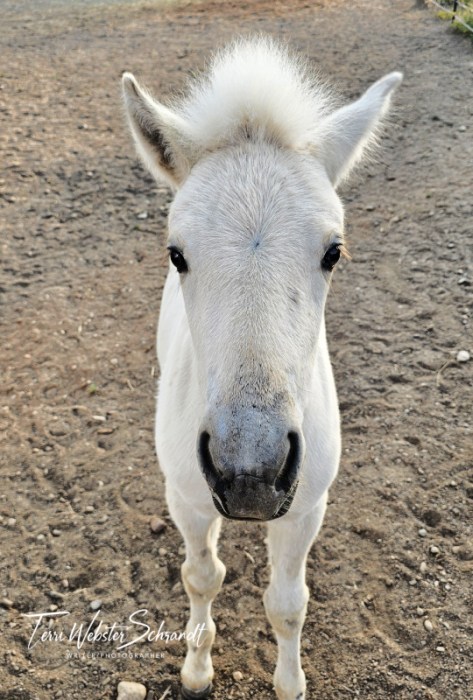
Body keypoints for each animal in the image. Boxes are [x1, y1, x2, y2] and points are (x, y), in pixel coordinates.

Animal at [122, 37, 401, 700]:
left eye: (333, 252)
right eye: (177, 254)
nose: (251, 473)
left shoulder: (306, 508)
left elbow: (288, 603)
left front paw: (290, 684)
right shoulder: (187, 498)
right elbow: (201, 576)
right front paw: (197, 670)